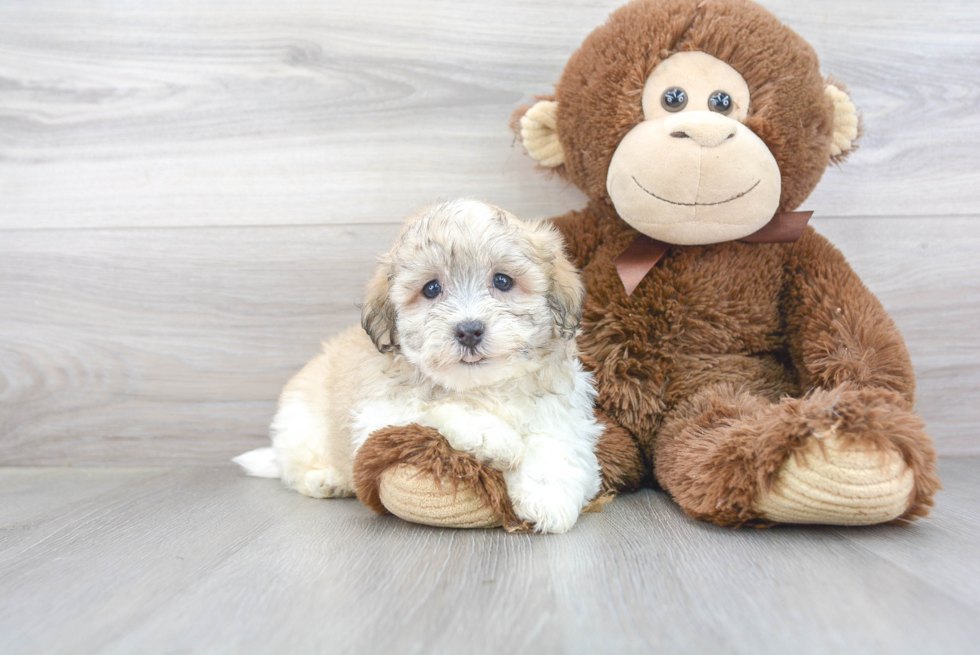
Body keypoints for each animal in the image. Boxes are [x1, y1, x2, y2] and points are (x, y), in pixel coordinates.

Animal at [235, 199, 604, 532]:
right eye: (431, 288)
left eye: (502, 281)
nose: (469, 330)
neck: (482, 386)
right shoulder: (379, 413)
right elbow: (431, 407)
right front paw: (493, 438)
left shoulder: (565, 413)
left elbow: (556, 444)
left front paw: (548, 499)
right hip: (301, 424)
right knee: (294, 468)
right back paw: (325, 480)